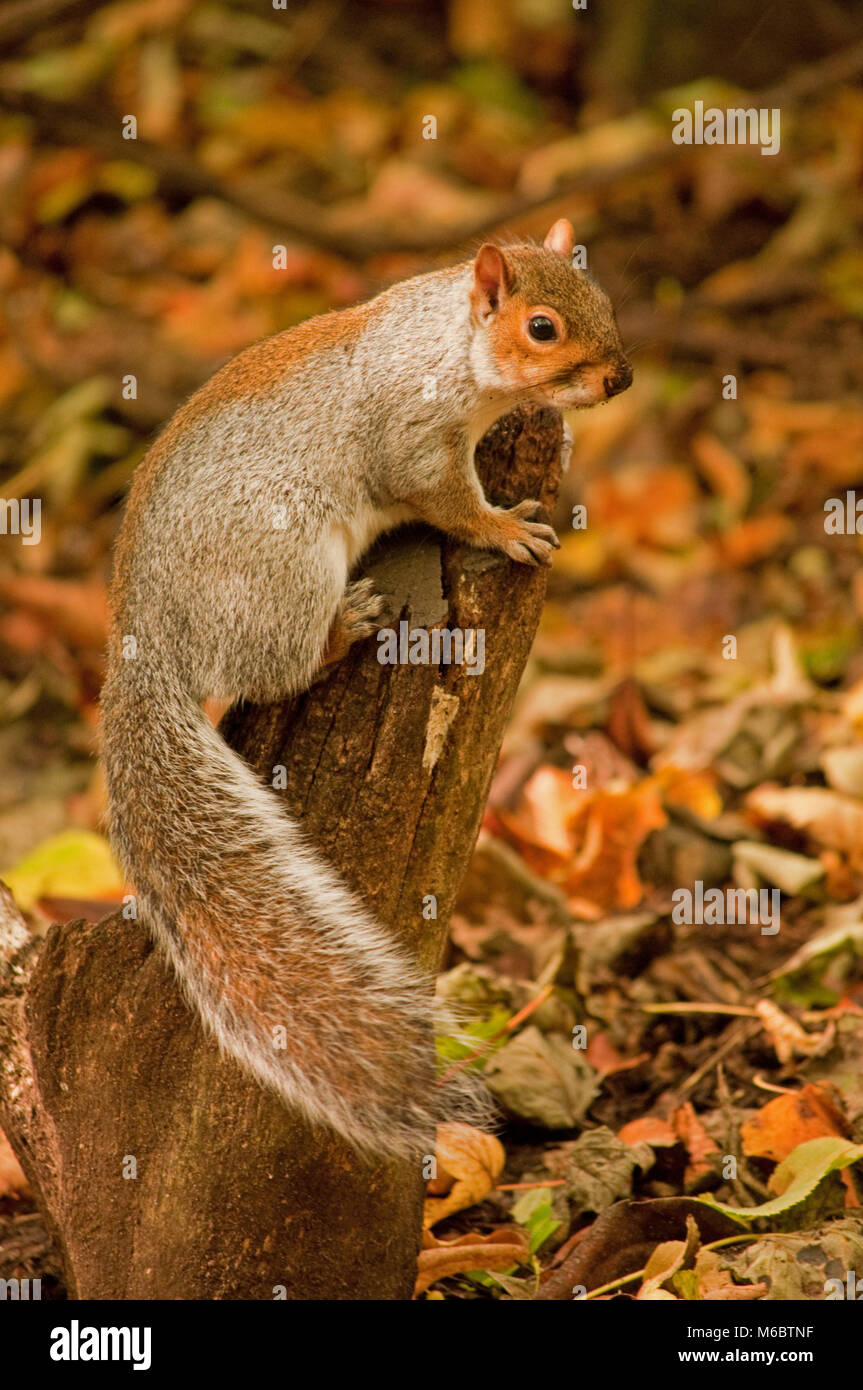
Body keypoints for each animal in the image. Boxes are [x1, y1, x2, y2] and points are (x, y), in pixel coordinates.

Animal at [101, 217, 632, 1161]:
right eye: (540, 328)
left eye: (598, 295)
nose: (619, 378)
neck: (448, 345)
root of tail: (145, 633)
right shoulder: (413, 444)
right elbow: (445, 500)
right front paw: (503, 526)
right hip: (283, 569)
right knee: (275, 668)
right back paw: (345, 629)